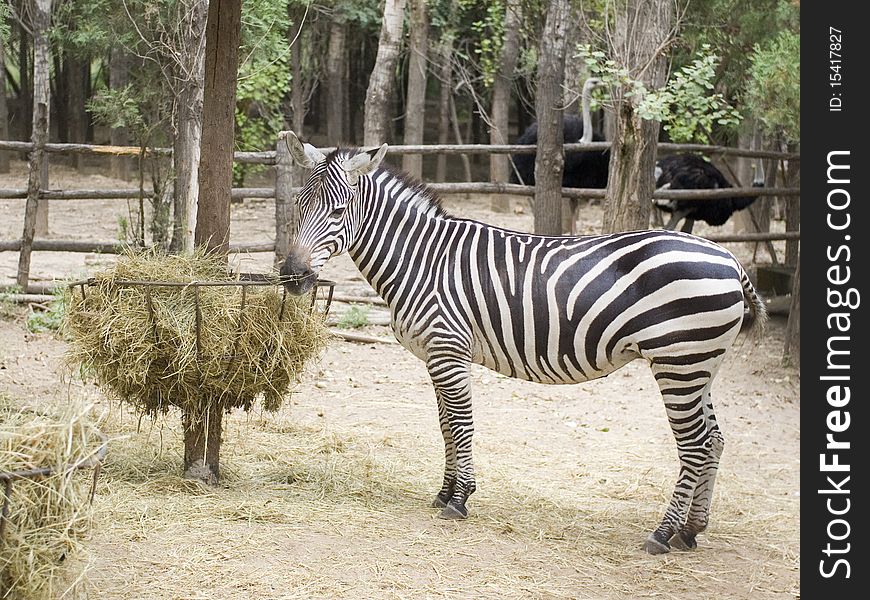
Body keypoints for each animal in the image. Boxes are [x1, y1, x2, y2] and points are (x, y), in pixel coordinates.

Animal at [282, 130, 768, 552]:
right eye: (299, 205)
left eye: (338, 211)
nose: (292, 276)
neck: (422, 260)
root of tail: (728, 258)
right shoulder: (436, 356)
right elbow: (445, 425)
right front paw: (444, 492)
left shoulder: (448, 350)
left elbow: (461, 424)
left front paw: (460, 498)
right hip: (699, 364)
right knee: (715, 440)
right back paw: (691, 530)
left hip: (678, 363)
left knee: (695, 445)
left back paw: (663, 533)